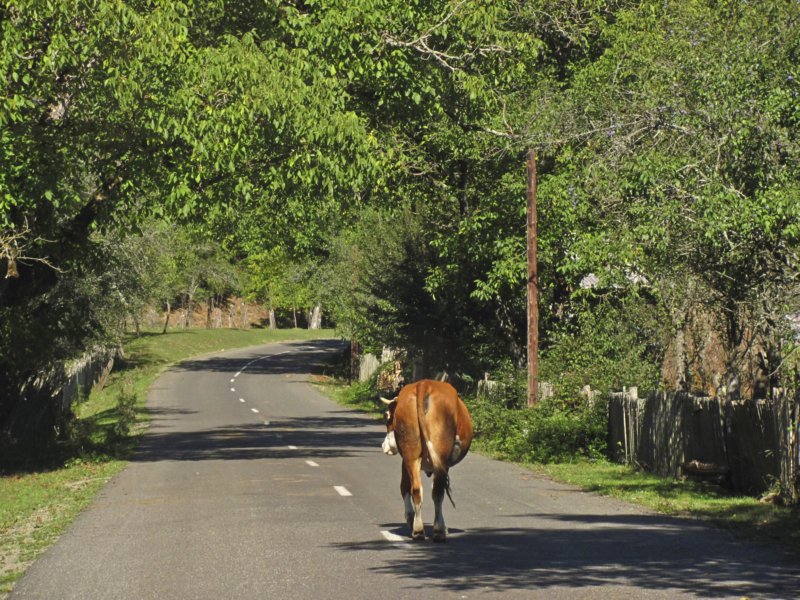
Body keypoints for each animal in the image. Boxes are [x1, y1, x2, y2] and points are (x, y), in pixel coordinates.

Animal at [380, 380, 472, 544]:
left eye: (387, 418)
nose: (384, 446)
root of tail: (423, 384)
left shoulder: (408, 461)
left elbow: (408, 487)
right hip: (436, 453)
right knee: (436, 491)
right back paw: (436, 531)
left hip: (412, 453)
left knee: (418, 490)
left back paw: (419, 531)